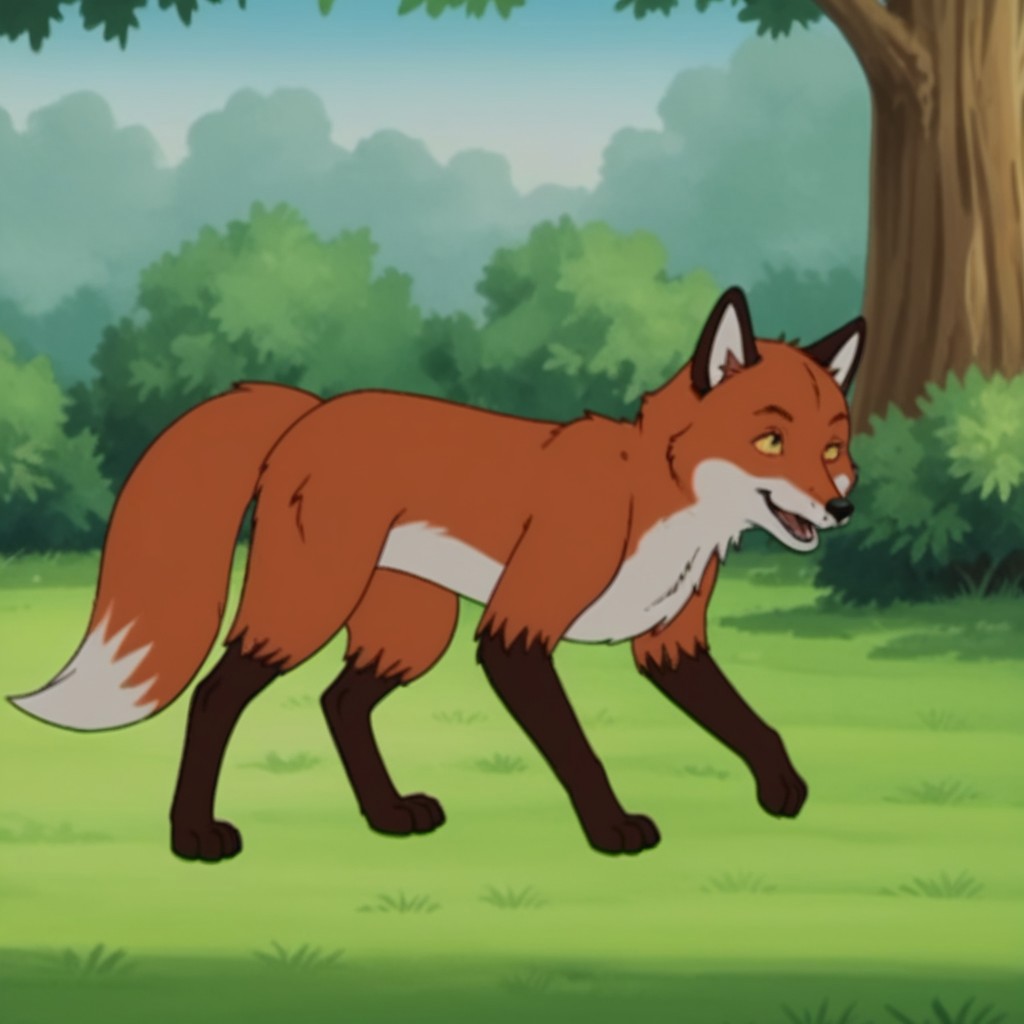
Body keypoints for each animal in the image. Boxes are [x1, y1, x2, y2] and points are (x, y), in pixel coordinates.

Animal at [9, 286, 863, 862]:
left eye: (832, 448)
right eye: (770, 442)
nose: (842, 507)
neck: (659, 505)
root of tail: (311, 409)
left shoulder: (670, 645)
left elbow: (751, 722)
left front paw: (781, 787)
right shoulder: (517, 633)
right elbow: (581, 751)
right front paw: (612, 828)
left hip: (411, 631)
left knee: (340, 702)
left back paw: (387, 815)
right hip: (312, 607)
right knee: (218, 694)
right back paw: (193, 834)